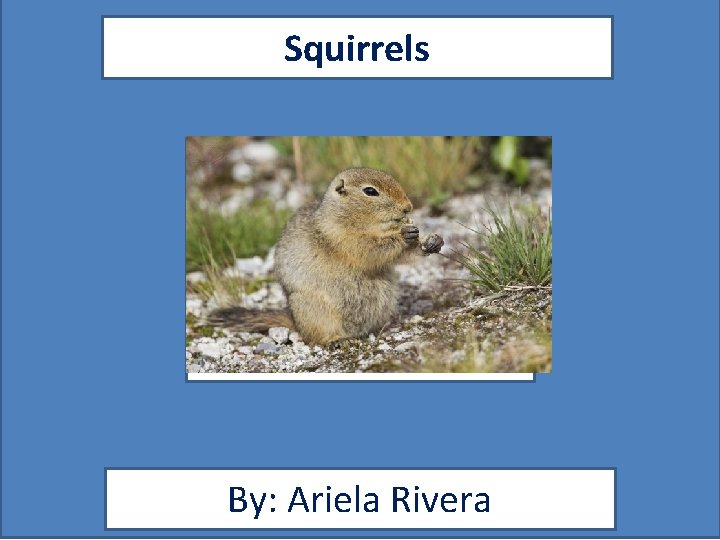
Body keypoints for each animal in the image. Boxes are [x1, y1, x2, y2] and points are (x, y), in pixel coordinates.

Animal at [210, 168, 444, 345]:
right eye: (370, 191)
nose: (408, 207)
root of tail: (295, 323)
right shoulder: (340, 236)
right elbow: (368, 249)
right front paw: (405, 234)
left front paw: (433, 241)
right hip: (315, 311)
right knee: (315, 337)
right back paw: (336, 340)